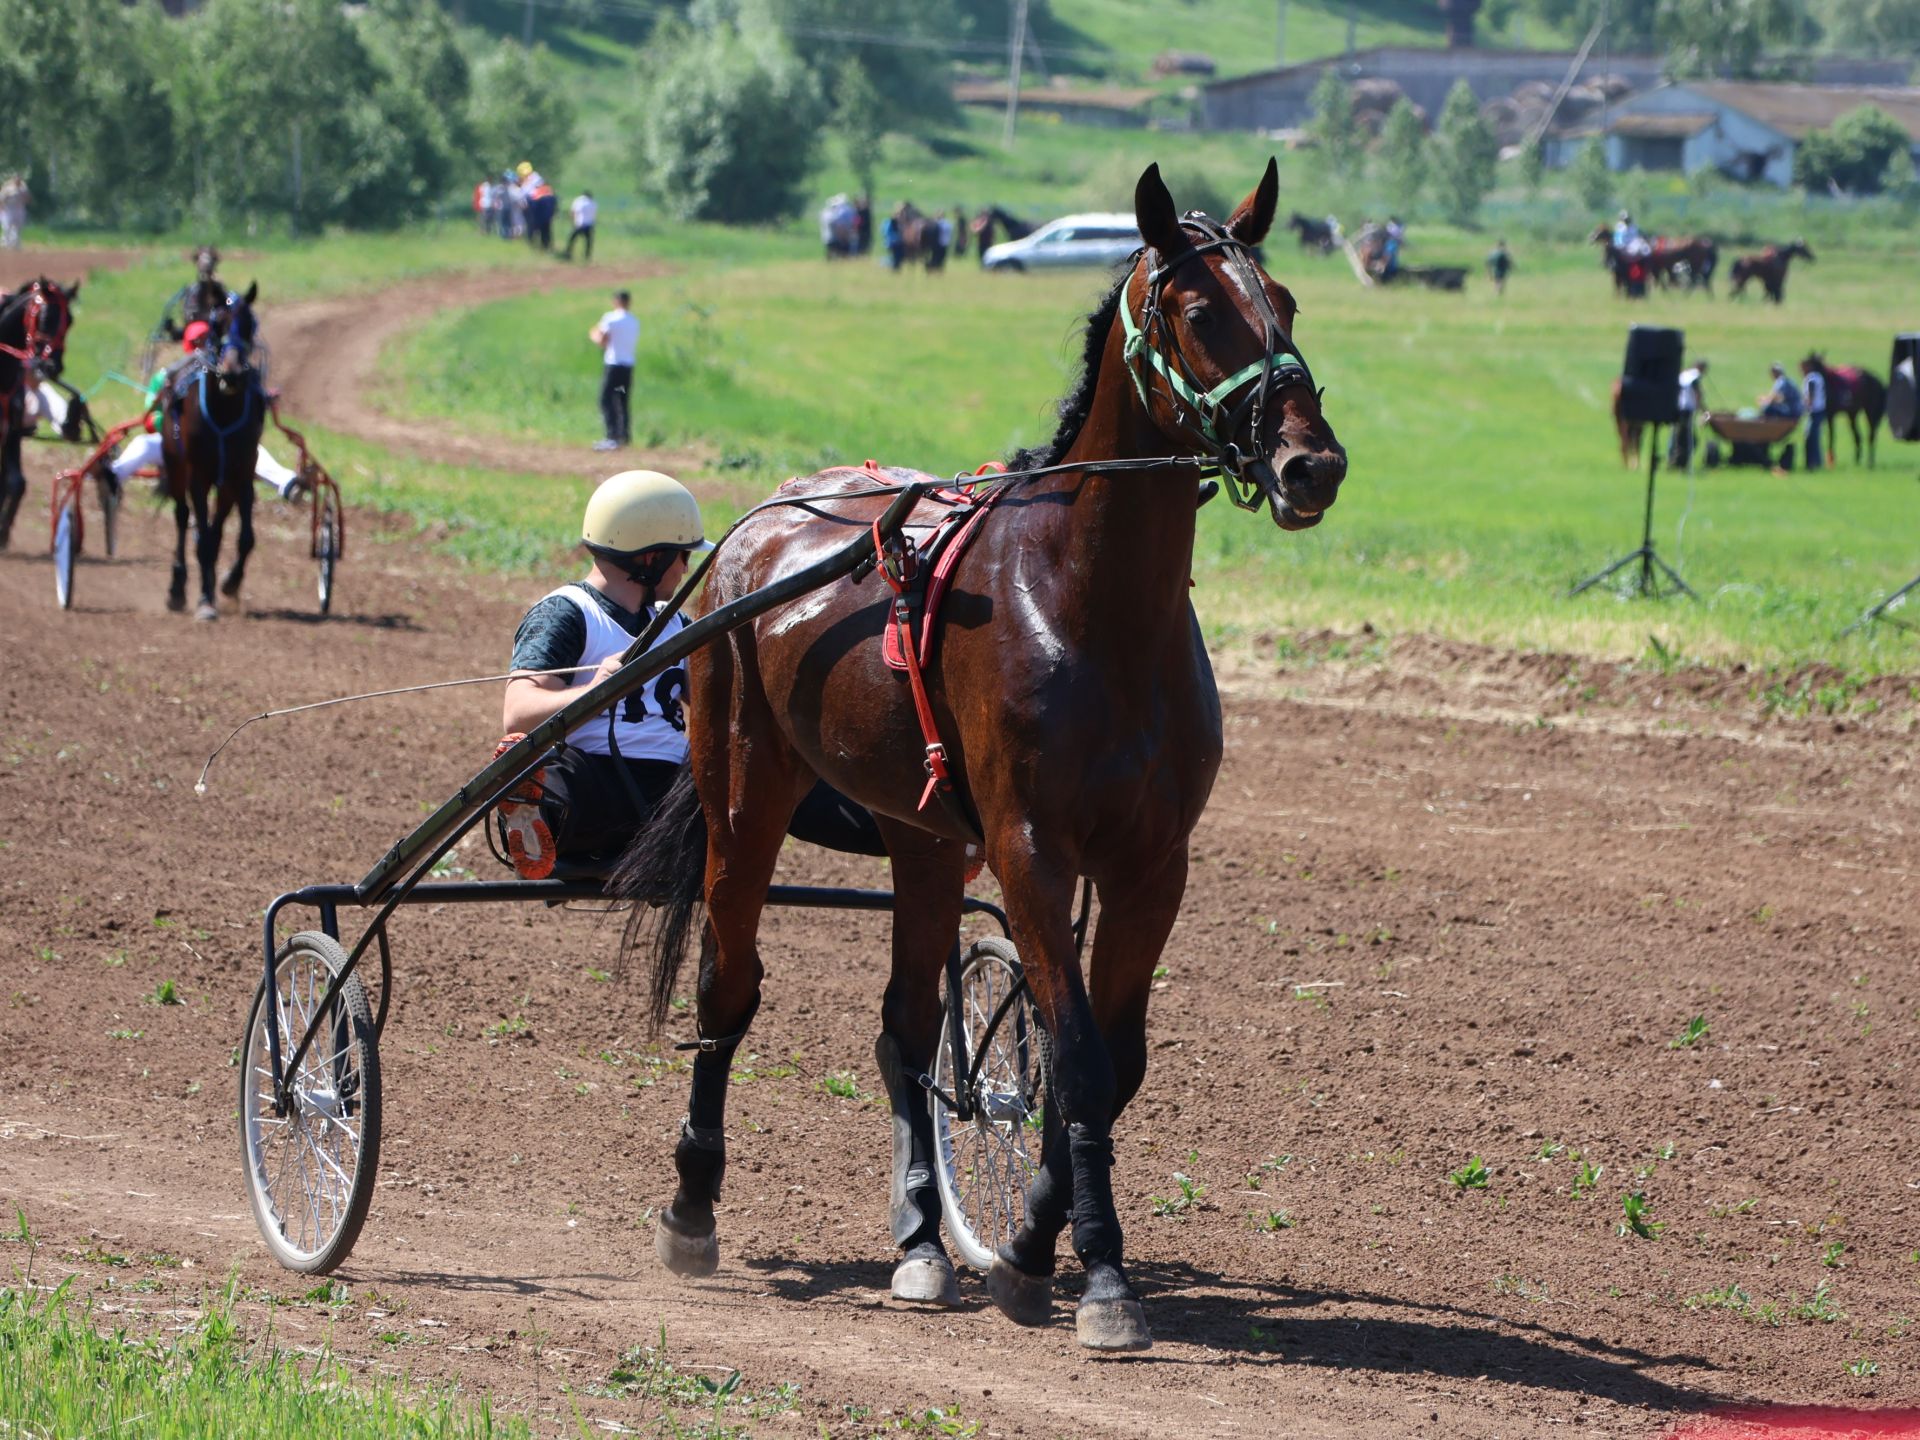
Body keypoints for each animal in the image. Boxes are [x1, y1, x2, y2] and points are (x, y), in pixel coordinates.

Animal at [0, 278, 79, 549]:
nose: (53, 365)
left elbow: (16, 483)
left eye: (70, 320)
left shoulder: (11, 431)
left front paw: (3, 532)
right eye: (44, 317)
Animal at [160, 284, 268, 622]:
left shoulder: (242, 471)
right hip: (176, 466)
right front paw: (205, 600)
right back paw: (178, 587)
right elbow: (203, 539)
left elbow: (245, 538)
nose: (232, 373)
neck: (224, 408)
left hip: (226, 484)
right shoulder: (199, 474)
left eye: (249, 324)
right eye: (217, 324)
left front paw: (230, 583)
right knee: (183, 517)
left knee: (217, 525)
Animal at [618, 163, 1351, 1359]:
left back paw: (921, 1242)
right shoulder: (1029, 847)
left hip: (919, 835)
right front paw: (1103, 1280)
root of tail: (753, 529)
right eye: (1202, 311)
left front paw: (1030, 1248)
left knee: (907, 1025)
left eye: (1285, 300)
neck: (1091, 609)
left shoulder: (1152, 864)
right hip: (746, 788)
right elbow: (1079, 1058)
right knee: (730, 984)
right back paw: (691, 1207)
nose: (1312, 463)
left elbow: (1104, 1064)